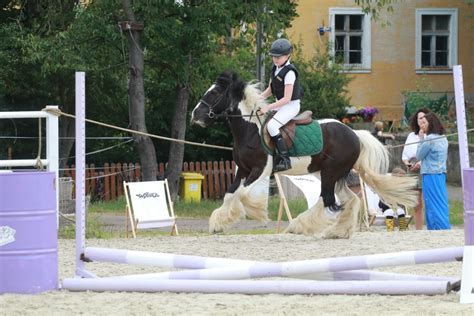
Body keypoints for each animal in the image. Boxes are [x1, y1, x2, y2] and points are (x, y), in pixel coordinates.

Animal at [191, 69, 416, 237]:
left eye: (213, 94)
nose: (195, 115)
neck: (250, 129)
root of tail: (354, 134)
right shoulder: (242, 170)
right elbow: (230, 194)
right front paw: (218, 223)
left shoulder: (260, 170)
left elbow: (242, 193)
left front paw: (257, 214)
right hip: (332, 174)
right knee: (350, 199)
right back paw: (337, 231)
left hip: (330, 173)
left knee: (327, 199)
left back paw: (300, 226)